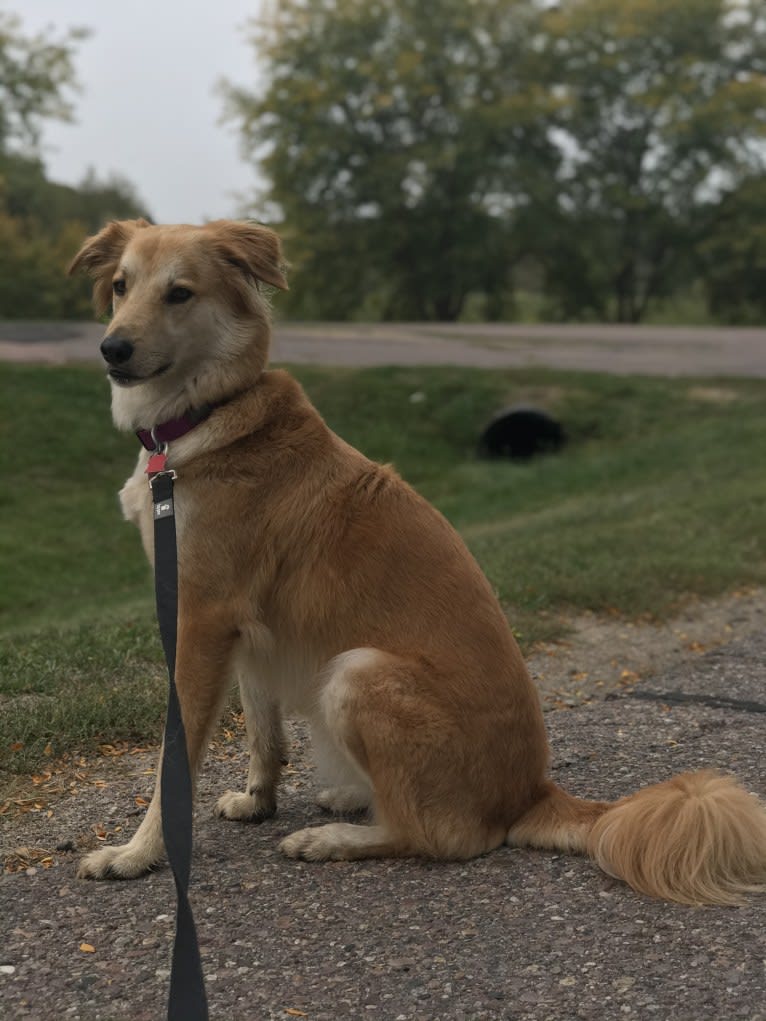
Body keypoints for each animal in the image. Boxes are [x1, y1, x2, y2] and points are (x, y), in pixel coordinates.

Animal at [70, 221, 766, 902]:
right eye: (122, 286)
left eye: (179, 293)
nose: (111, 349)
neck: (209, 413)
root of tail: (531, 792)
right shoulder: (240, 630)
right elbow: (263, 729)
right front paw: (257, 799)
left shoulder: (202, 620)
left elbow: (176, 758)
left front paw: (138, 854)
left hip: (357, 672)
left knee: (439, 835)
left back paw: (336, 838)